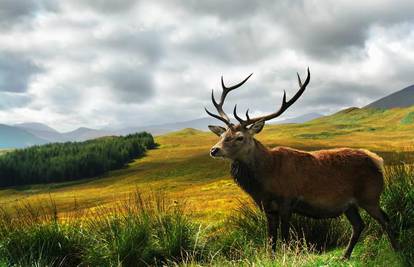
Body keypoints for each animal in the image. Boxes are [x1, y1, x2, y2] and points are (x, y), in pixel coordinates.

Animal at [205, 68, 400, 260]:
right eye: (221, 135)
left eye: (240, 137)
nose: (214, 150)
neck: (265, 180)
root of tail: (377, 160)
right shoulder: (267, 207)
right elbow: (270, 239)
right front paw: (272, 258)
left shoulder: (287, 201)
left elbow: (285, 237)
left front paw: (286, 257)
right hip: (349, 204)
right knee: (359, 225)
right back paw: (344, 256)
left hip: (370, 196)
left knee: (386, 220)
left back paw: (396, 252)